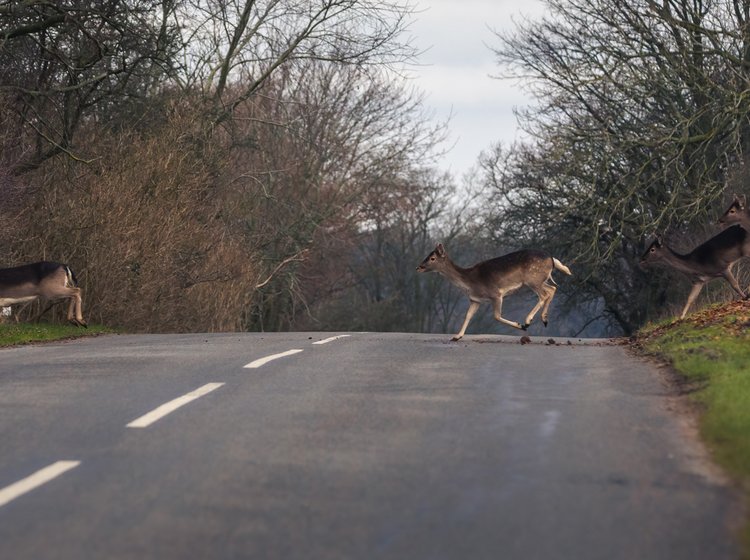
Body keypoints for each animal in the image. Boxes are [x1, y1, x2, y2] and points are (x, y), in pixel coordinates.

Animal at [418, 242, 568, 342]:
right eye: (428, 255)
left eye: (432, 258)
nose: (419, 267)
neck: (469, 282)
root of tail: (552, 258)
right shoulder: (475, 300)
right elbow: (468, 315)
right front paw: (457, 336)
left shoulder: (496, 294)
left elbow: (496, 316)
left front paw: (521, 326)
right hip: (539, 280)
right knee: (552, 289)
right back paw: (545, 319)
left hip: (533, 279)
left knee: (544, 294)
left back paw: (528, 321)